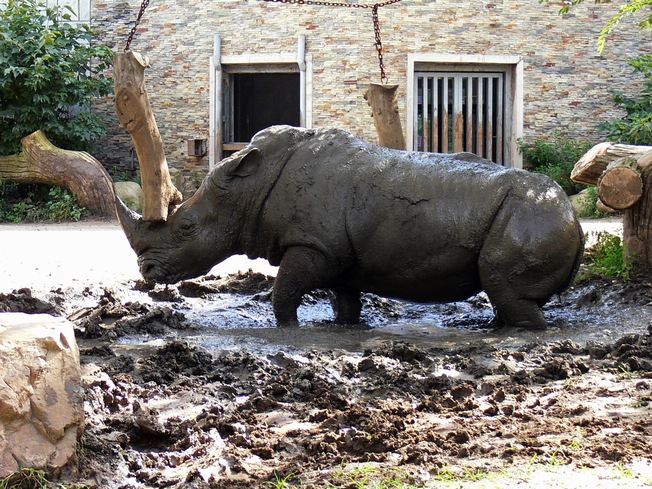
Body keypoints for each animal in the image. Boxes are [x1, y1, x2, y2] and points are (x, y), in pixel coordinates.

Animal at [116, 125, 584, 329]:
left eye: (186, 228)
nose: (146, 272)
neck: (247, 190)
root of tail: (575, 219)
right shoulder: (337, 255)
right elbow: (345, 300)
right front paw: (343, 328)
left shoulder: (313, 245)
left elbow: (284, 292)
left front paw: (288, 330)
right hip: (534, 217)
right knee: (506, 294)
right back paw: (495, 329)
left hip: (530, 216)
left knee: (505, 287)